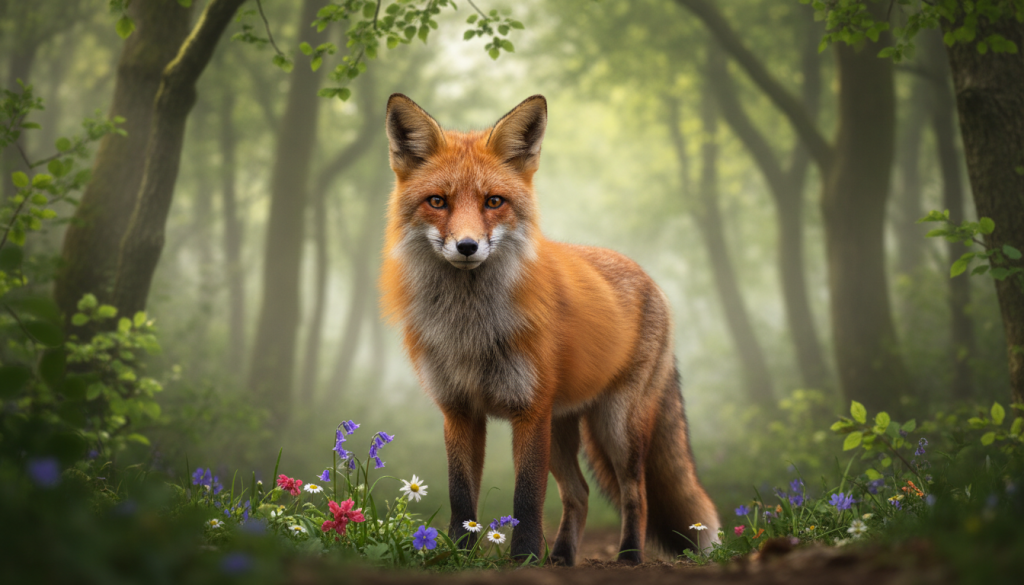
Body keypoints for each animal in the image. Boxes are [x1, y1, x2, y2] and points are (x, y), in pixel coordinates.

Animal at [379, 93, 720, 565]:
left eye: (493, 202)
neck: (470, 330)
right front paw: (458, 554)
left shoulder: (530, 410)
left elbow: (527, 498)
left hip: (616, 427)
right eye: (437, 201)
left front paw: (523, 558)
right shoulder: (460, 411)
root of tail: (649, 278)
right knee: (579, 493)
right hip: (563, 431)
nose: (467, 246)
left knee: (636, 493)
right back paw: (561, 556)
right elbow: (461, 496)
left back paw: (629, 555)